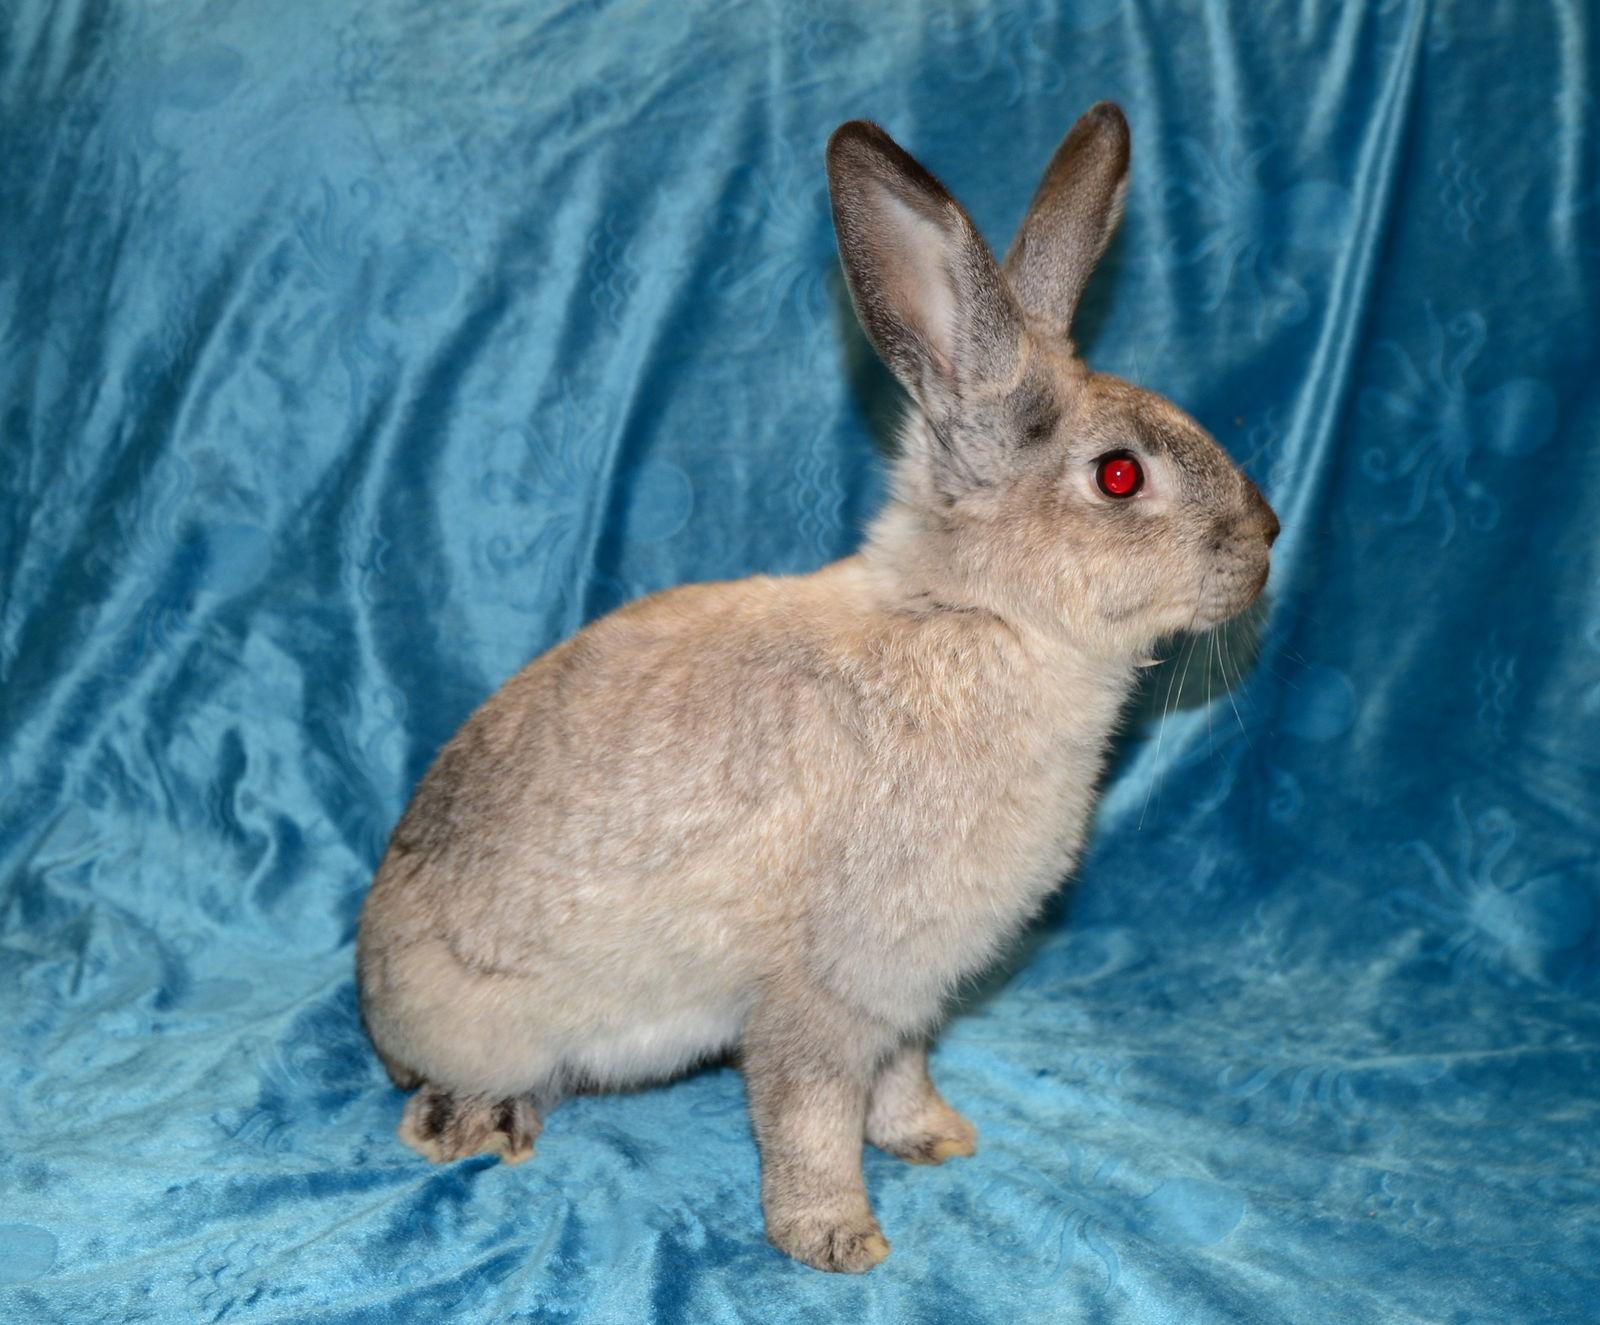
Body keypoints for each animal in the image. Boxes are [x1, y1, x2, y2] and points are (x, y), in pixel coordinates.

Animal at [356, 101, 1279, 1274]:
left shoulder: (905, 995)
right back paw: (476, 1122)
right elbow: (807, 1111)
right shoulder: (825, 987)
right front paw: (836, 1238)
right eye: (1120, 476)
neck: (979, 617)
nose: (1267, 537)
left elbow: (900, 1074)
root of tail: (372, 984)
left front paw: (935, 1137)